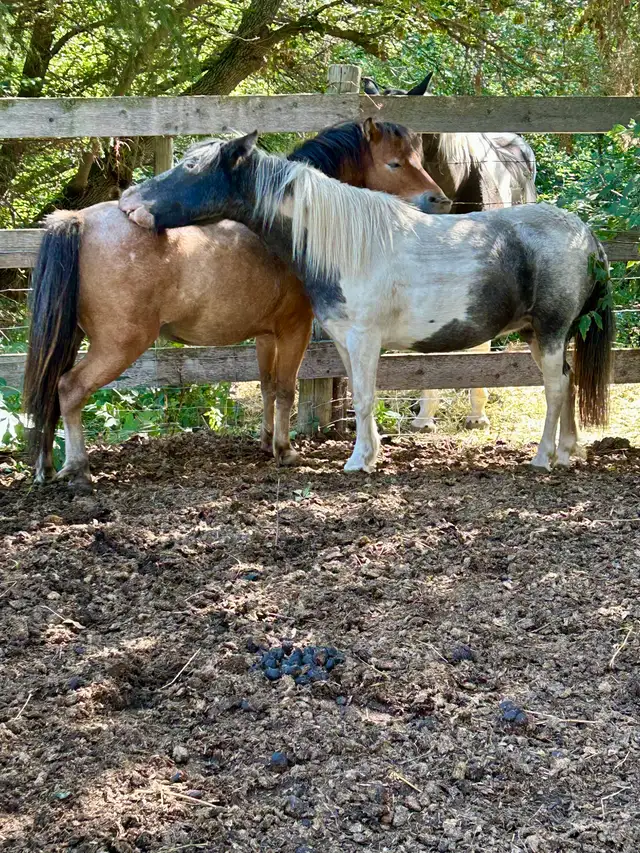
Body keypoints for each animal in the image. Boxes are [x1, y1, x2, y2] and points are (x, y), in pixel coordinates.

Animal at [23, 119, 451, 488]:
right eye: (395, 162)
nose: (439, 200)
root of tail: (78, 219)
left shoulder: (266, 335)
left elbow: (266, 387)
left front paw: (266, 441)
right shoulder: (294, 329)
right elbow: (286, 389)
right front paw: (285, 450)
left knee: (50, 388)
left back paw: (46, 467)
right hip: (119, 345)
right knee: (70, 388)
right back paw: (77, 468)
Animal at [119, 134, 613, 475]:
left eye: (190, 166)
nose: (128, 202)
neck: (343, 243)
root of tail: (585, 235)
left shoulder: (364, 339)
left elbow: (363, 395)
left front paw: (358, 460)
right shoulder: (343, 340)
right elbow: (359, 394)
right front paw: (370, 454)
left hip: (550, 330)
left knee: (554, 388)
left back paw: (544, 457)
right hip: (539, 334)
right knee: (568, 380)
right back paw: (566, 452)